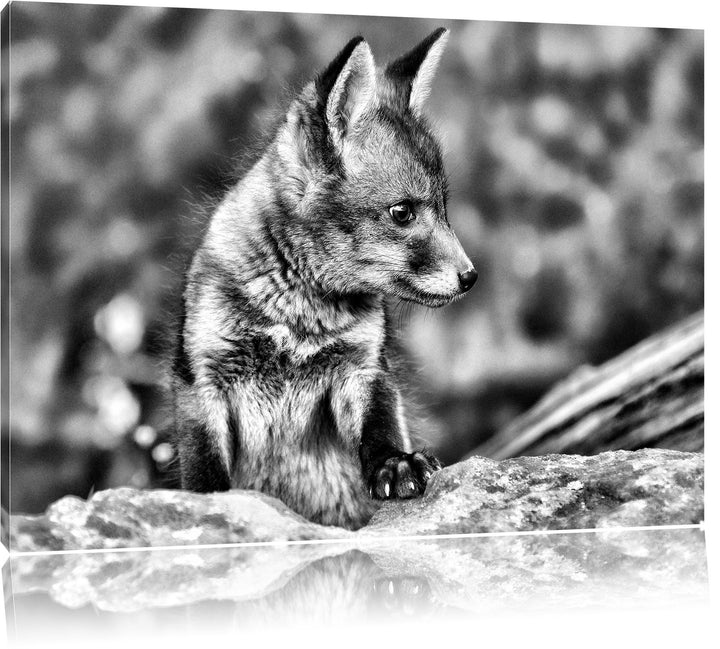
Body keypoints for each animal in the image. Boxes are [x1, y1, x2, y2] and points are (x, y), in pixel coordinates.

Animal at [172, 28, 477, 530]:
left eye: (444, 210)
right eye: (403, 212)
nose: (470, 277)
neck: (296, 319)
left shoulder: (364, 369)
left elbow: (379, 431)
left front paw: (396, 464)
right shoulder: (202, 380)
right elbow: (204, 476)